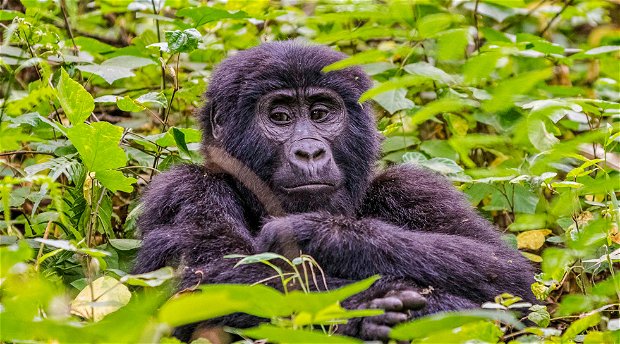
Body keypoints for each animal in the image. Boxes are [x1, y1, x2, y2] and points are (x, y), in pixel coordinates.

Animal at [133, 40, 536, 342]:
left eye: (321, 113)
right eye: (280, 117)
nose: (310, 152)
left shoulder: (414, 187)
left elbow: (511, 277)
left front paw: (318, 233)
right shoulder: (186, 188)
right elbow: (204, 282)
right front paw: (369, 309)